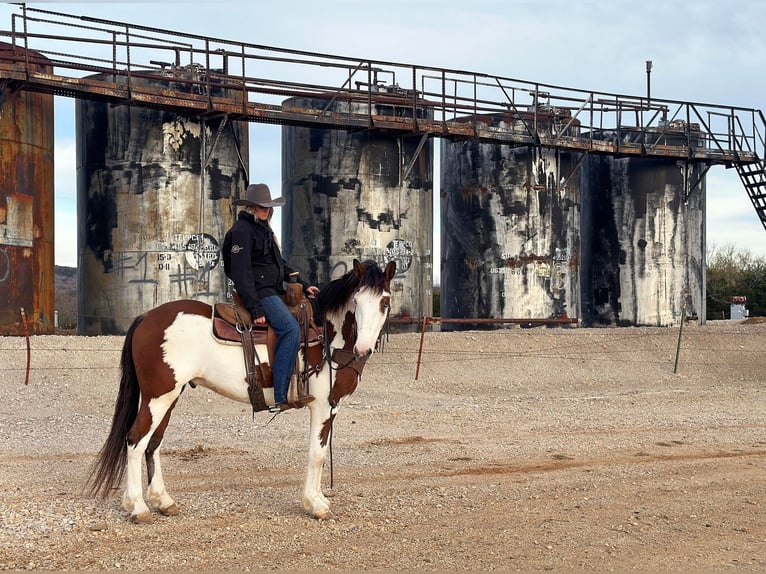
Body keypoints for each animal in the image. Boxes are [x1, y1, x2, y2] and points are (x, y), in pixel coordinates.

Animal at [87, 258, 396, 524]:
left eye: (385, 301)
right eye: (356, 301)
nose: (363, 348)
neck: (327, 335)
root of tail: (146, 317)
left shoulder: (331, 406)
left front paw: (318, 499)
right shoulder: (322, 405)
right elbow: (317, 454)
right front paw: (316, 504)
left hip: (168, 397)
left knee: (154, 443)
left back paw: (163, 501)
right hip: (158, 397)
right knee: (136, 441)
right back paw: (138, 507)